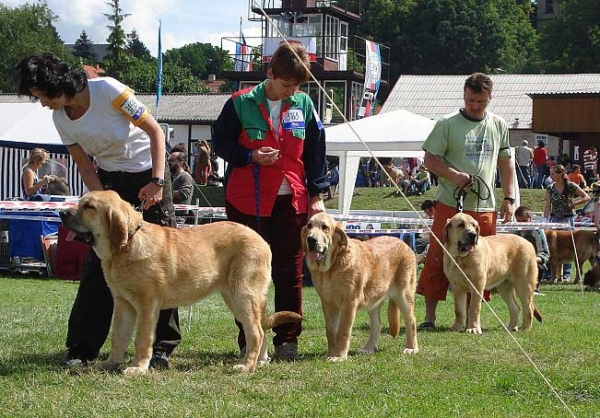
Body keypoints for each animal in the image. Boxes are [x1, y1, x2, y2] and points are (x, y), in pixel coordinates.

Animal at [59, 191, 300, 374]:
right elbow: (118, 336)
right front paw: (109, 363)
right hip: (235, 298)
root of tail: (262, 240)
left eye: (89, 207)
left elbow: (142, 338)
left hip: (243, 295)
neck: (127, 243)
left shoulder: (147, 305)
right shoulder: (123, 303)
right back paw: (261, 361)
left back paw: (246, 366)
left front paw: (137, 368)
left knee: (256, 331)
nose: (61, 213)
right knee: (259, 328)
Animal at [300, 212, 418, 360]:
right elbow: (331, 332)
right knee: (377, 324)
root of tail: (404, 244)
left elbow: (343, 331)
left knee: (411, 321)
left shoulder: (349, 303)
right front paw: (329, 354)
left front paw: (338, 356)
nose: (311, 239)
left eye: (325, 227)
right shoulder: (328, 304)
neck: (332, 267)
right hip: (373, 298)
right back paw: (368, 348)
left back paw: (411, 348)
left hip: (403, 295)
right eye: (309, 226)